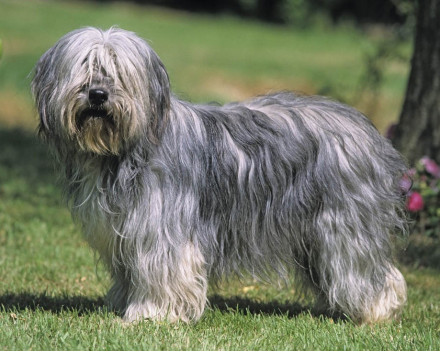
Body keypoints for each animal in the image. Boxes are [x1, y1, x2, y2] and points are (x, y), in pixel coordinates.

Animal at [31, 27, 410, 324]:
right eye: (84, 67)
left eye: (119, 72)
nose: (98, 94)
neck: (121, 153)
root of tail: (366, 129)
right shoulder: (123, 233)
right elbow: (130, 273)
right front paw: (123, 305)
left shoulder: (163, 232)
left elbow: (163, 273)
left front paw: (151, 315)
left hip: (344, 225)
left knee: (370, 270)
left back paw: (375, 312)